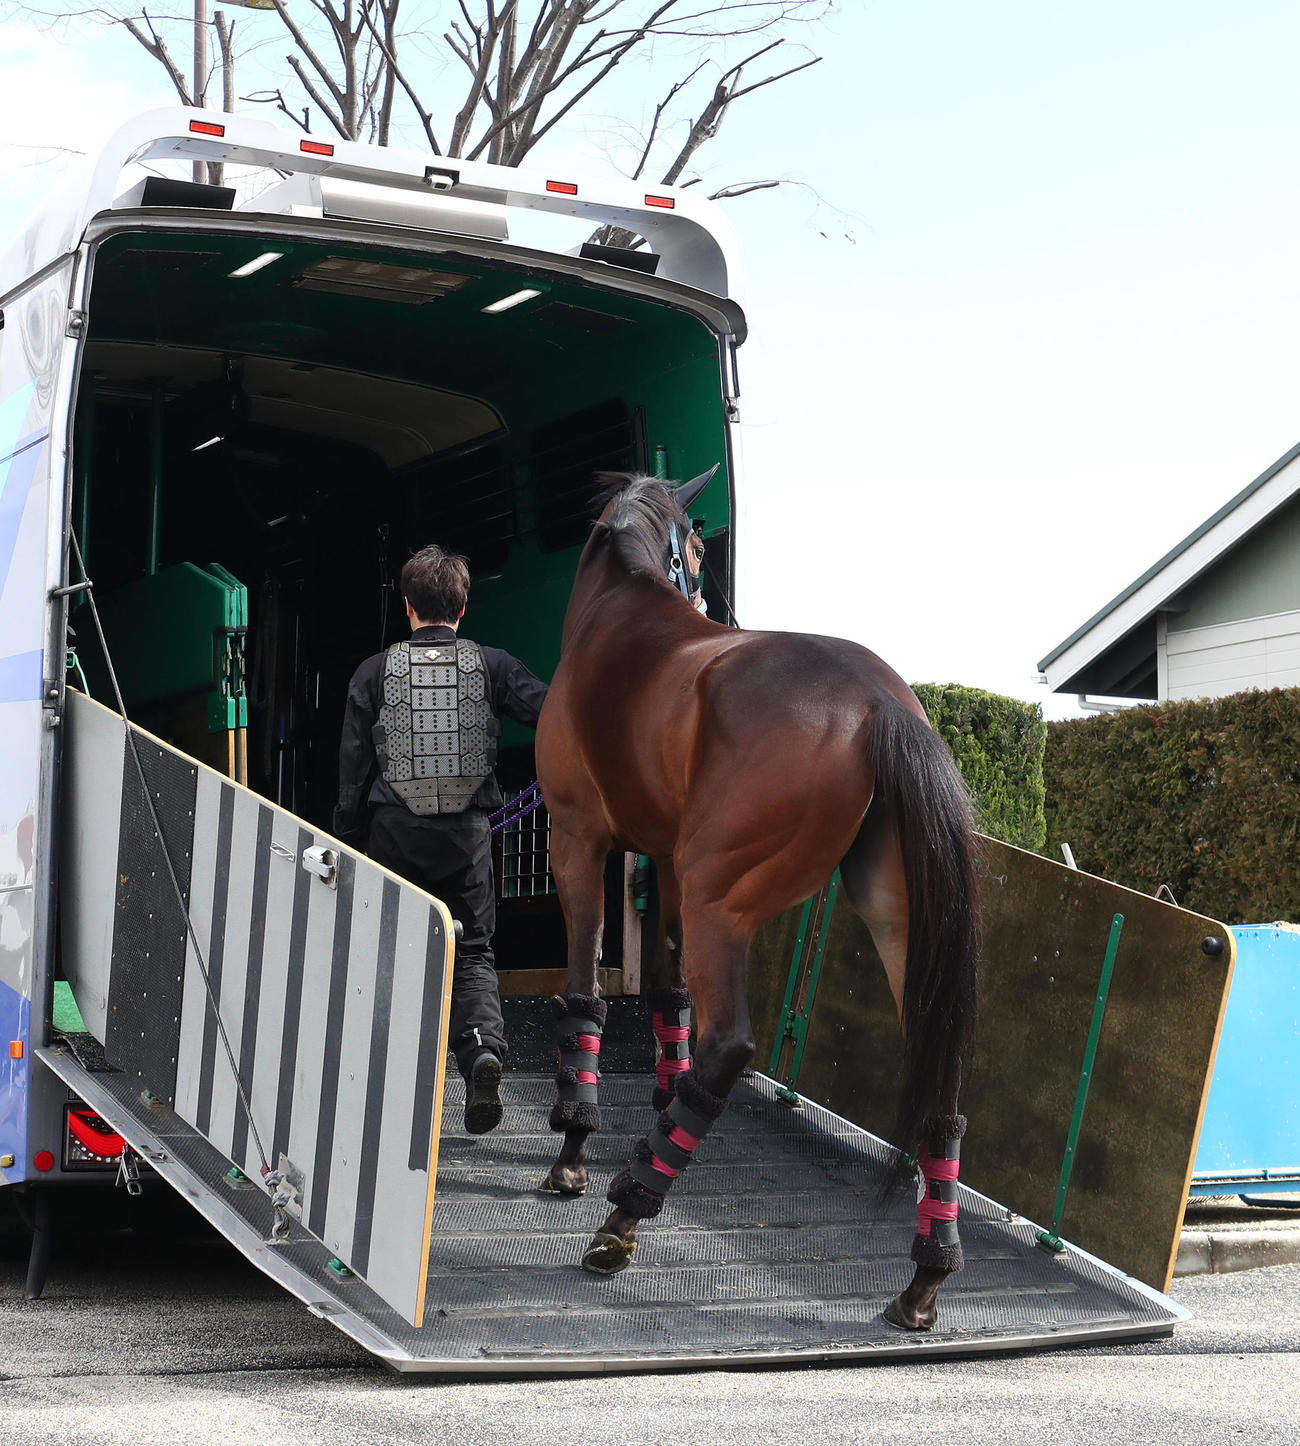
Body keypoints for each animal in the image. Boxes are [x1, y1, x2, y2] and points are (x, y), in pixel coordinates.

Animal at [532, 470, 979, 1331]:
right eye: (702, 551)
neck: (621, 611)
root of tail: (878, 702)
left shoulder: (579, 841)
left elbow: (583, 998)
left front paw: (574, 1146)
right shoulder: (663, 860)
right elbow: (667, 993)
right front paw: (659, 1111)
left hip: (721, 898)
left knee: (729, 1044)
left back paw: (625, 1216)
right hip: (894, 919)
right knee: (939, 1069)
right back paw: (925, 1276)